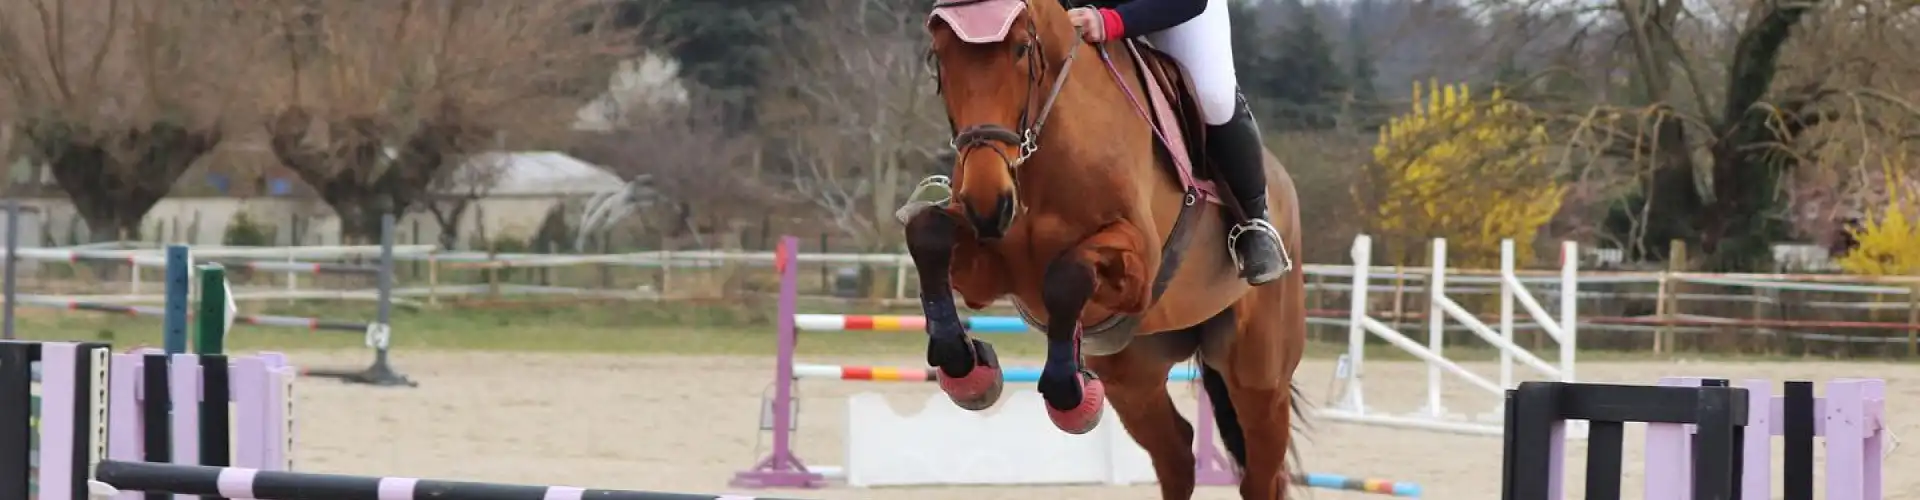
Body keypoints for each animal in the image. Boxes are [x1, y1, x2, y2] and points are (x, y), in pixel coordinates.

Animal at [897, 0, 1310, 498]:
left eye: (1020, 48)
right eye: (938, 57)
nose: (988, 204)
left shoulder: (1138, 263)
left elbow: (1067, 276)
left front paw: (1068, 395)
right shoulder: (987, 268)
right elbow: (928, 234)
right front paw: (964, 366)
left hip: (1259, 377)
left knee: (1261, 474)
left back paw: (1260, 247)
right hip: (1132, 376)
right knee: (1176, 454)